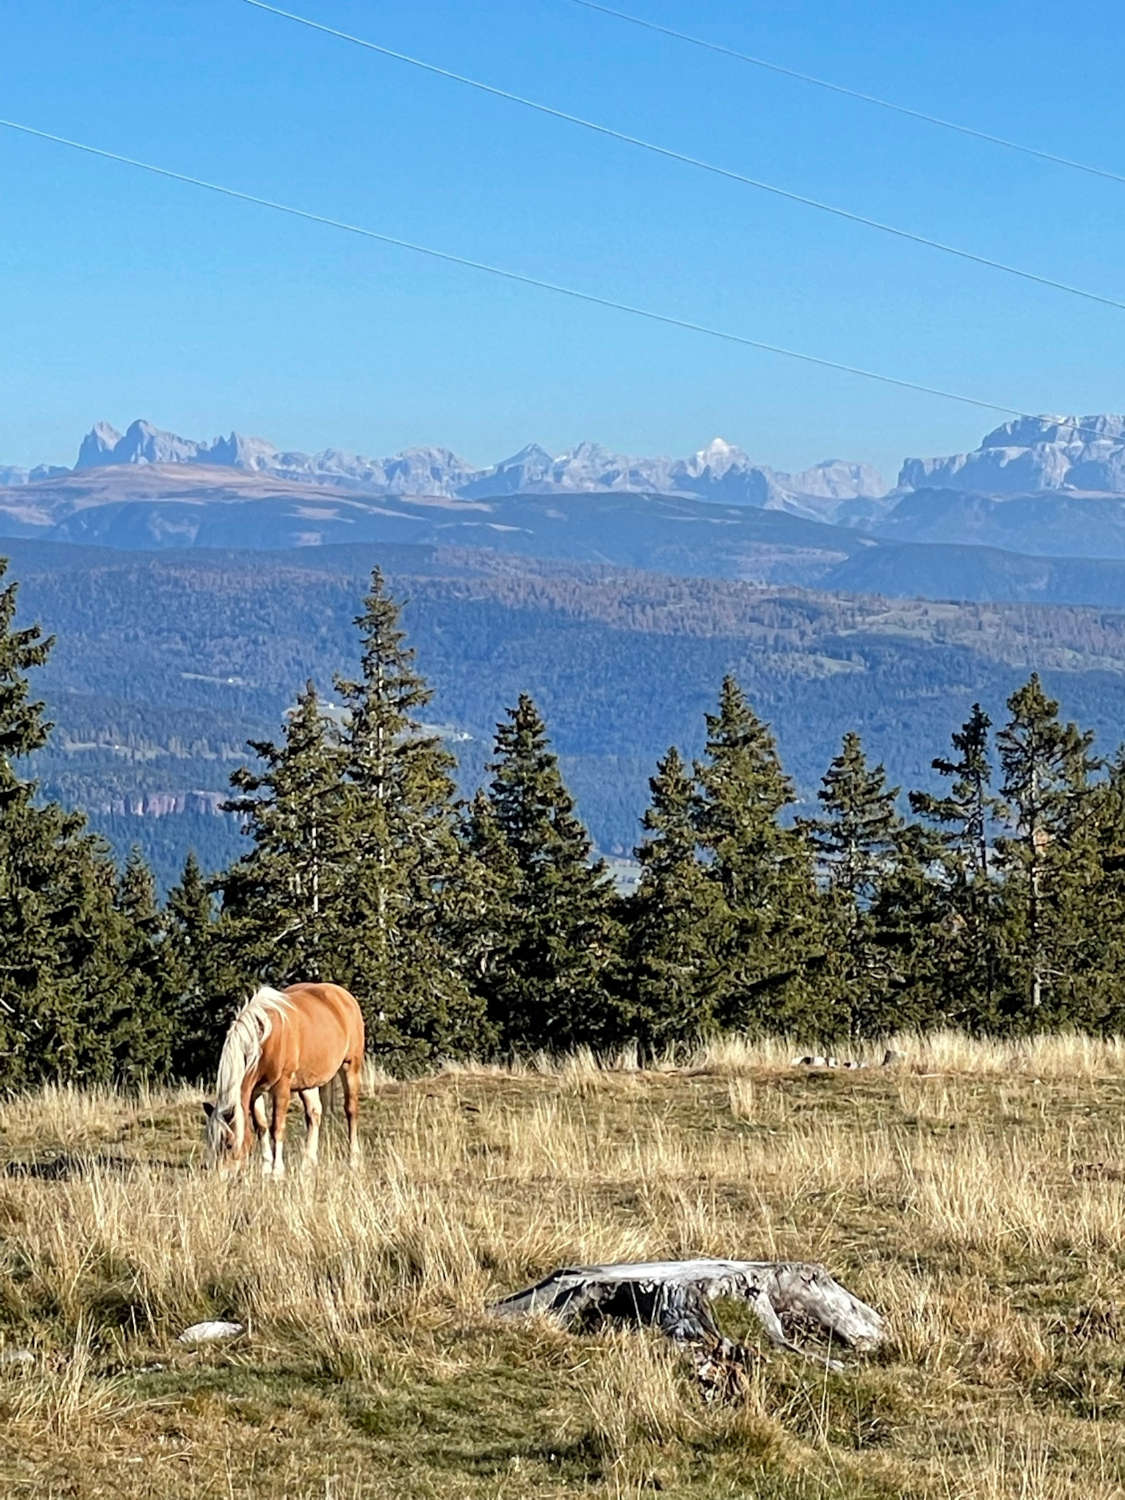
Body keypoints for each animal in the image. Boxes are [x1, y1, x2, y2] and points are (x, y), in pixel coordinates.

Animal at [201, 978, 363, 1176]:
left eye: (229, 1144)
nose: (221, 1176)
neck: (263, 1040)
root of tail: (344, 996)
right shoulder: (256, 1091)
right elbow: (261, 1126)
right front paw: (265, 1168)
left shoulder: (281, 1087)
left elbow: (277, 1128)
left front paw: (277, 1171)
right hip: (307, 1082)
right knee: (314, 1114)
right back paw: (307, 1164)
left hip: (350, 1066)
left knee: (351, 1110)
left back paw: (354, 1160)